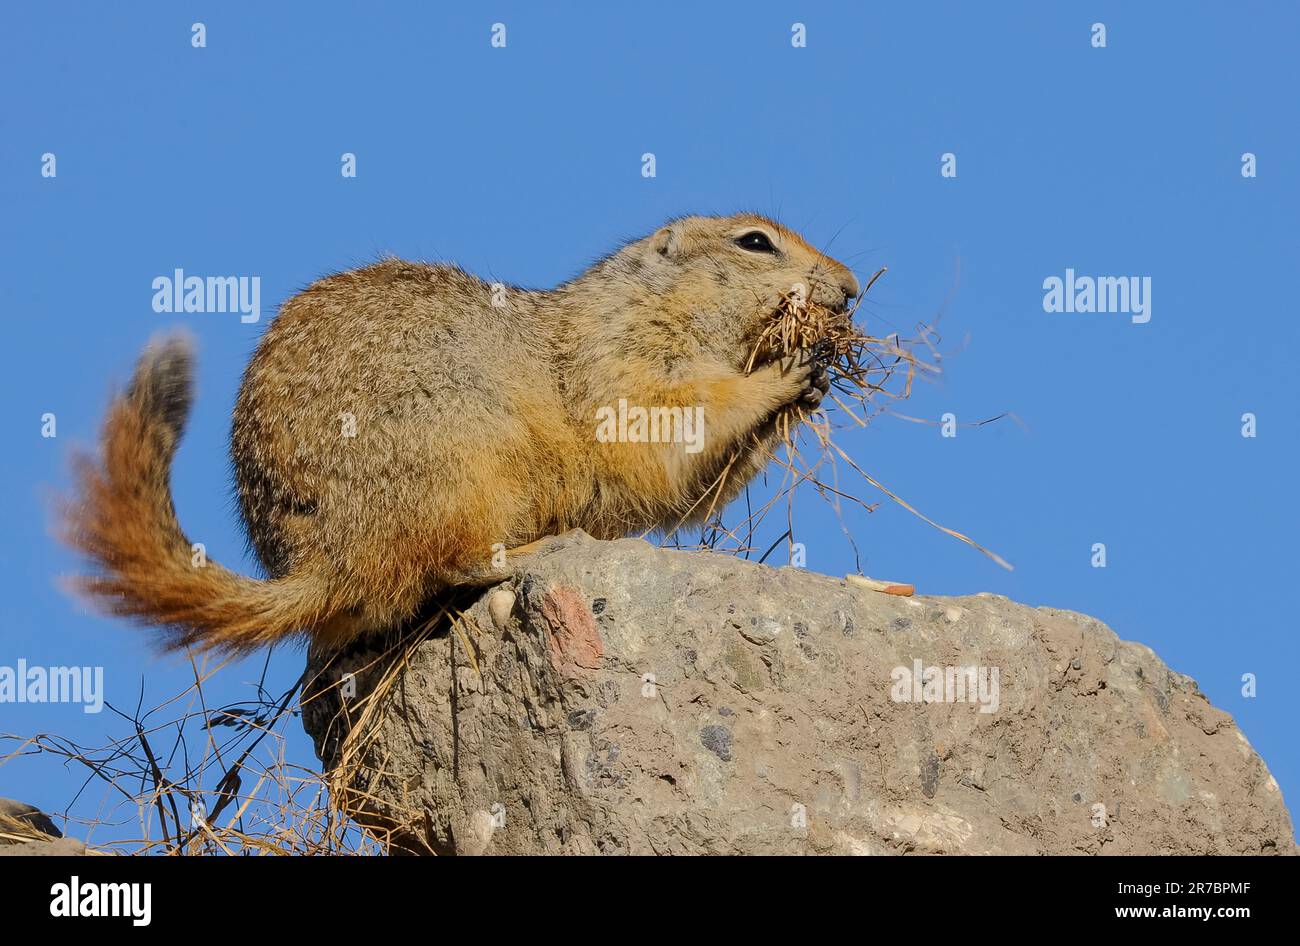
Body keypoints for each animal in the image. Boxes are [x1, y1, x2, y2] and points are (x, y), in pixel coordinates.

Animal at [61, 215, 857, 657]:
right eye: (754, 242)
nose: (852, 288)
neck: (653, 304)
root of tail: (326, 561)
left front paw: (811, 388)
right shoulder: (627, 365)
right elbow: (674, 423)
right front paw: (784, 374)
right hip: (472, 459)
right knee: (453, 564)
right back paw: (537, 548)